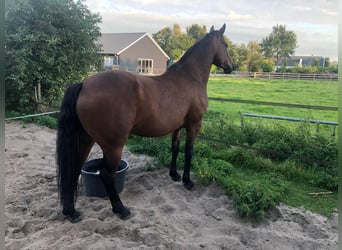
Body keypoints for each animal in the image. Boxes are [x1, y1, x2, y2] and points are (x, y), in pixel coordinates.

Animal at [56, 23, 232, 223]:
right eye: (225, 45)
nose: (231, 66)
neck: (190, 77)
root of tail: (84, 84)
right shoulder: (194, 124)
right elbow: (189, 152)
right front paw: (187, 181)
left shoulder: (178, 127)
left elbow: (175, 148)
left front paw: (174, 175)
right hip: (113, 145)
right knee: (106, 175)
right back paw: (121, 209)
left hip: (85, 139)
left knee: (74, 168)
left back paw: (71, 211)